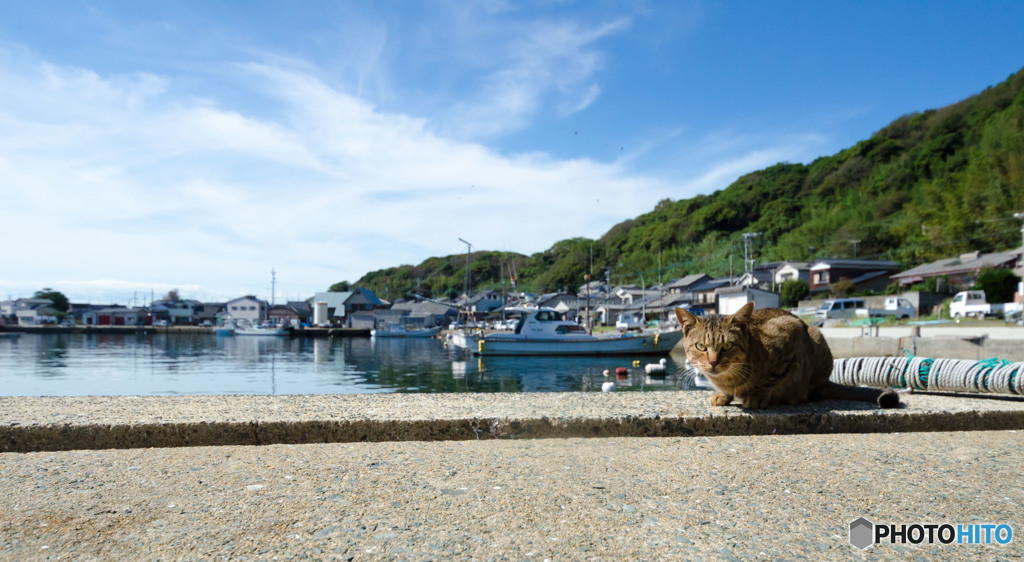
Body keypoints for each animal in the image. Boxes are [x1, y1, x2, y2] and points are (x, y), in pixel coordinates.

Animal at [675, 303, 901, 407]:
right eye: (701, 346)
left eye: (728, 346)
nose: (713, 362)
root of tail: (825, 382)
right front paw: (724, 395)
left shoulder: (789, 332)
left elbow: (770, 380)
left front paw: (756, 397)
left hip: (815, 337)